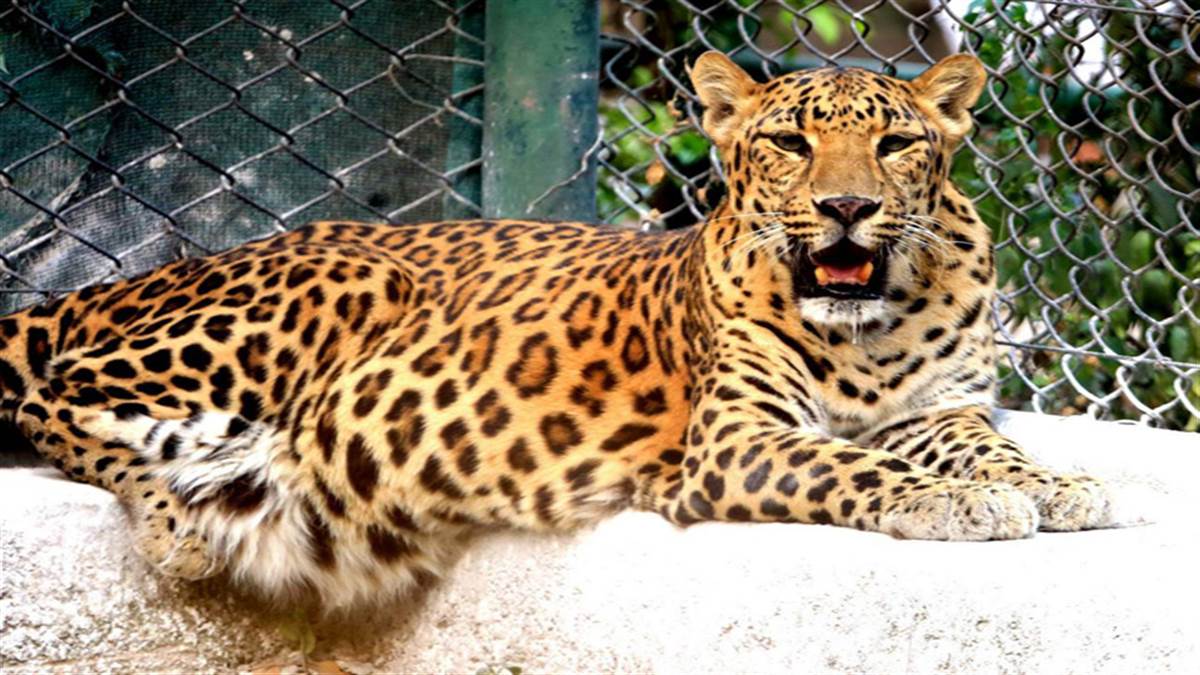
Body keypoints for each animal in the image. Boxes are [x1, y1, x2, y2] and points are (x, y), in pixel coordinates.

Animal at [0, 51, 1113, 611]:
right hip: (340, 281)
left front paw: (1061, 487)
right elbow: (857, 466)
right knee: (63, 400)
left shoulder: (941, 411)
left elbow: (993, 451)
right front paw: (955, 504)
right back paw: (184, 514)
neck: (866, 330)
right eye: (791, 143)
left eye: (897, 143)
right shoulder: (735, 442)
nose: (847, 208)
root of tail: (131, 279)